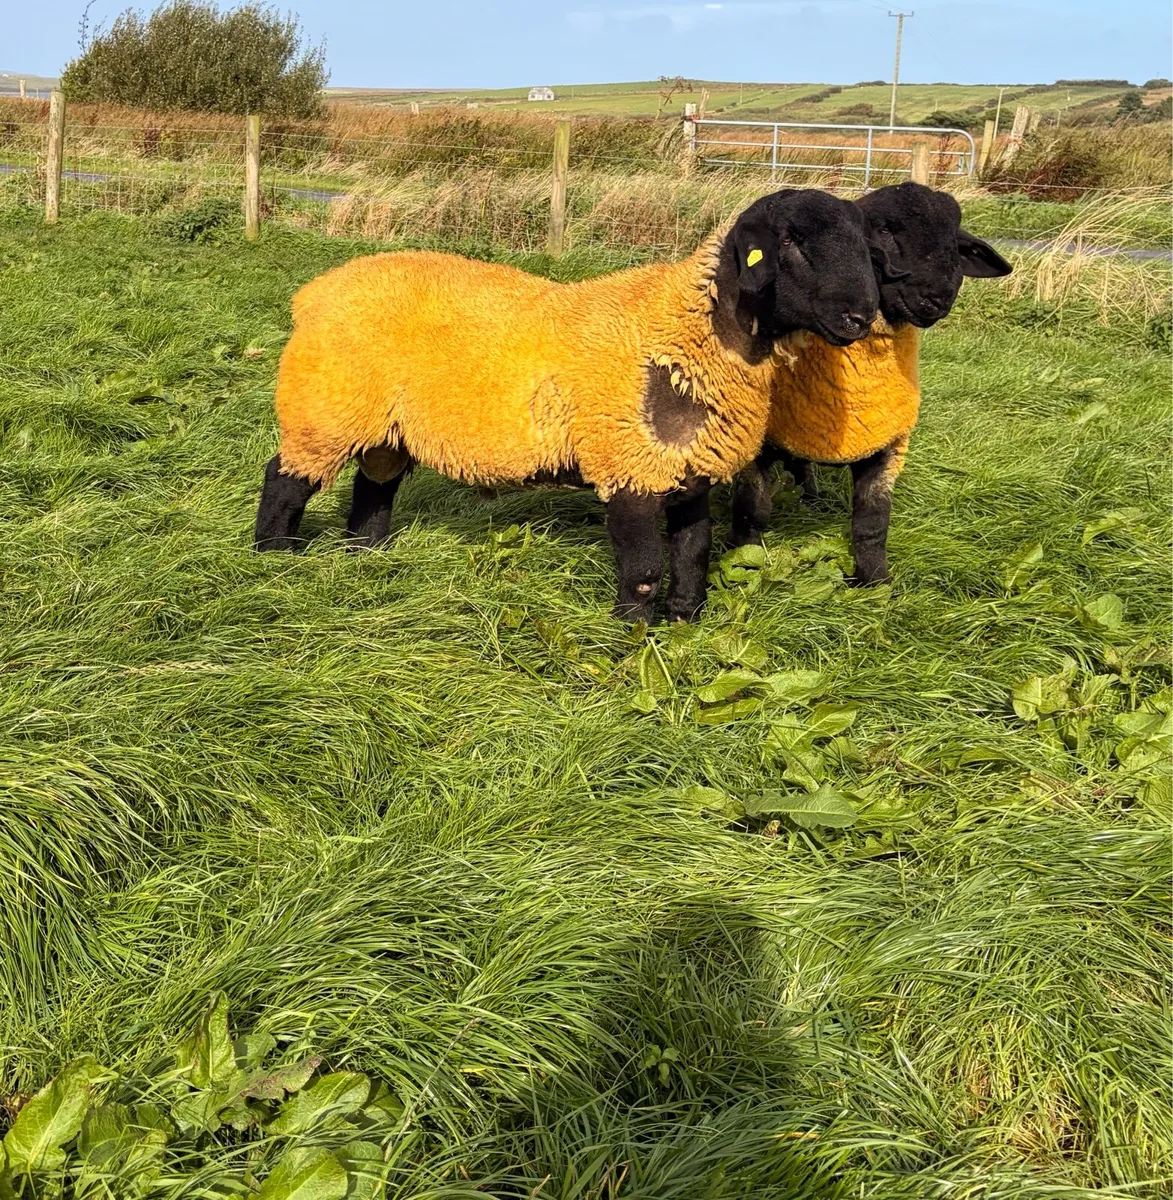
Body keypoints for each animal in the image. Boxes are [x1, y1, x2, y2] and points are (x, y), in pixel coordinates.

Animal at [254, 188, 886, 622]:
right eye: (790, 243)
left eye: (864, 246)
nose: (860, 318)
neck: (689, 333)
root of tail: (312, 294)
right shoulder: (628, 464)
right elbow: (643, 570)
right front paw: (633, 639)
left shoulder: (688, 471)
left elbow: (693, 552)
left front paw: (685, 621)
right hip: (325, 409)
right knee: (283, 480)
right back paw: (275, 558)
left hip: (382, 425)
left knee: (374, 485)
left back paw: (369, 555)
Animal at [729, 182, 1013, 584]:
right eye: (885, 229)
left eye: (953, 240)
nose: (939, 297)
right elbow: (752, 509)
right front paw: (739, 561)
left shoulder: (888, 446)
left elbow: (873, 521)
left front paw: (875, 584)